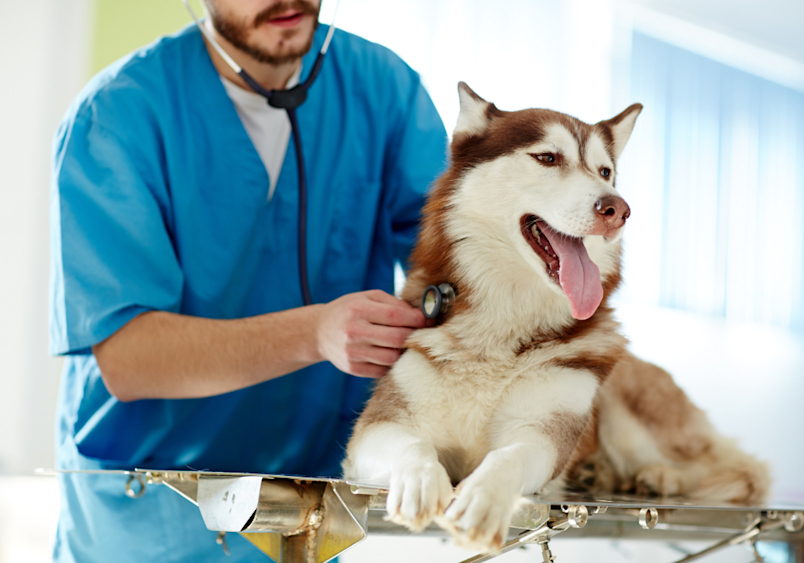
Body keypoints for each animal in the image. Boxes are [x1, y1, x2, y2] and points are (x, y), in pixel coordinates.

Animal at [340, 82, 768, 552]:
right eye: (547, 158)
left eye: (604, 172)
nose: (618, 209)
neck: (505, 323)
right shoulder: (378, 429)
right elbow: (412, 448)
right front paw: (419, 481)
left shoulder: (542, 433)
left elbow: (508, 456)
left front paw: (483, 497)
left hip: (627, 415)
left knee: (741, 470)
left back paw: (660, 476)